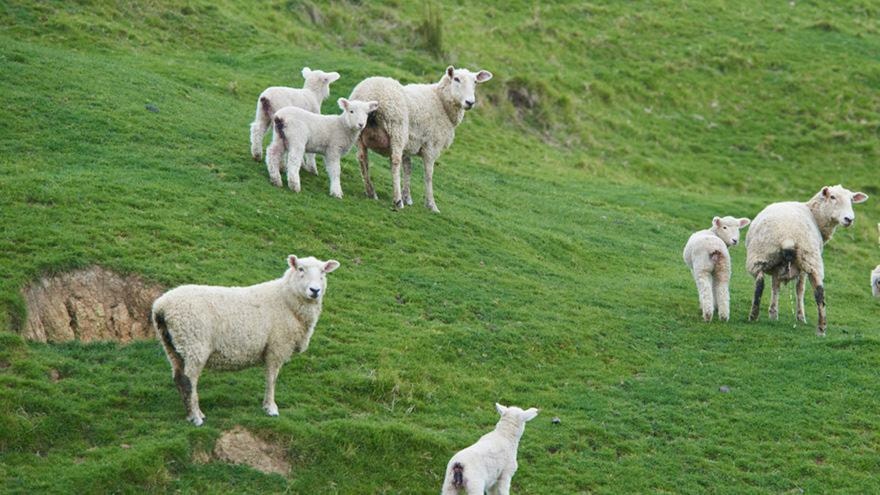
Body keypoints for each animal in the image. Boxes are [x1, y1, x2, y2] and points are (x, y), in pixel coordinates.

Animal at [151, 256, 340, 426]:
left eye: (323, 272)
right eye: (300, 269)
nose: (314, 290)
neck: (286, 300)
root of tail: (161, 307)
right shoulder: (277, 347)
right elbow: (271, 379)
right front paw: (271, 408)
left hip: (173, 346)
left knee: (178, 378)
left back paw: (191, 414)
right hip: (194, 345)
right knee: (189, 381)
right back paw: (196, 417)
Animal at [350, 66, 496, 213]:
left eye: (475, 82)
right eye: (456, 79)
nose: (470, 102)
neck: (441, 102)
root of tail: (370, 96)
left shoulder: (409, 143)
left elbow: (408, 168)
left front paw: (408, 197)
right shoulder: (431, 146)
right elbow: (428, 175)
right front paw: (431, 205)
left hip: (360, 132)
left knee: (362, 158)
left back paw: (371, 192)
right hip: (397, 130)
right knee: (395, 162)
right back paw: (397, 200)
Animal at [744, 186, 868, 338]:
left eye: (851, 199)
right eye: (832, 197)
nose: (849, 219)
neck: (815, 215)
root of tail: (787, 235)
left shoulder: (782, 268)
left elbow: (779, 287)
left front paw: (775, 314)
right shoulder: (797, 269)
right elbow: (796, 289)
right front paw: (795, 316)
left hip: (760, 256)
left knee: (760, 283)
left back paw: (754, 315)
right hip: (808, 258)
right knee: (819, 293)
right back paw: (821, 329)